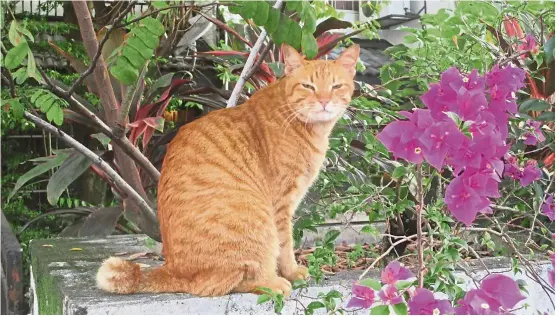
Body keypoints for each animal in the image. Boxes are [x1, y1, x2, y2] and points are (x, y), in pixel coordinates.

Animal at [97, 43, 360, 296]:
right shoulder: (281, 204)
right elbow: (285, 244)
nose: (324, 101)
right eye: (308, 86)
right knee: (226, 283)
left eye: (336, 86)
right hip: (257, 221)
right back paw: (273, 282)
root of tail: (172, 269)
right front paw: (292, 272)